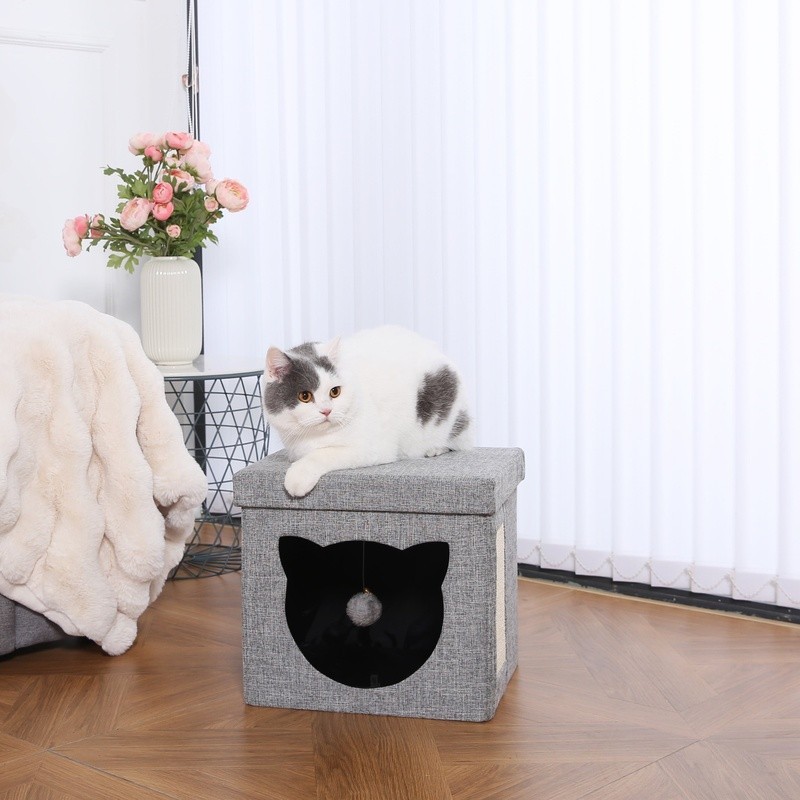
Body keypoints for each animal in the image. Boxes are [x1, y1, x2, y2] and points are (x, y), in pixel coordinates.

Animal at [263, 325, 473, 497]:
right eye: (305, 396)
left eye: (335, 392)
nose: (327, 410)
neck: (311, 438)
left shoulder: (373, 448)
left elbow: (323, 454)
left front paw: (298, 476)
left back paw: (435, 448)